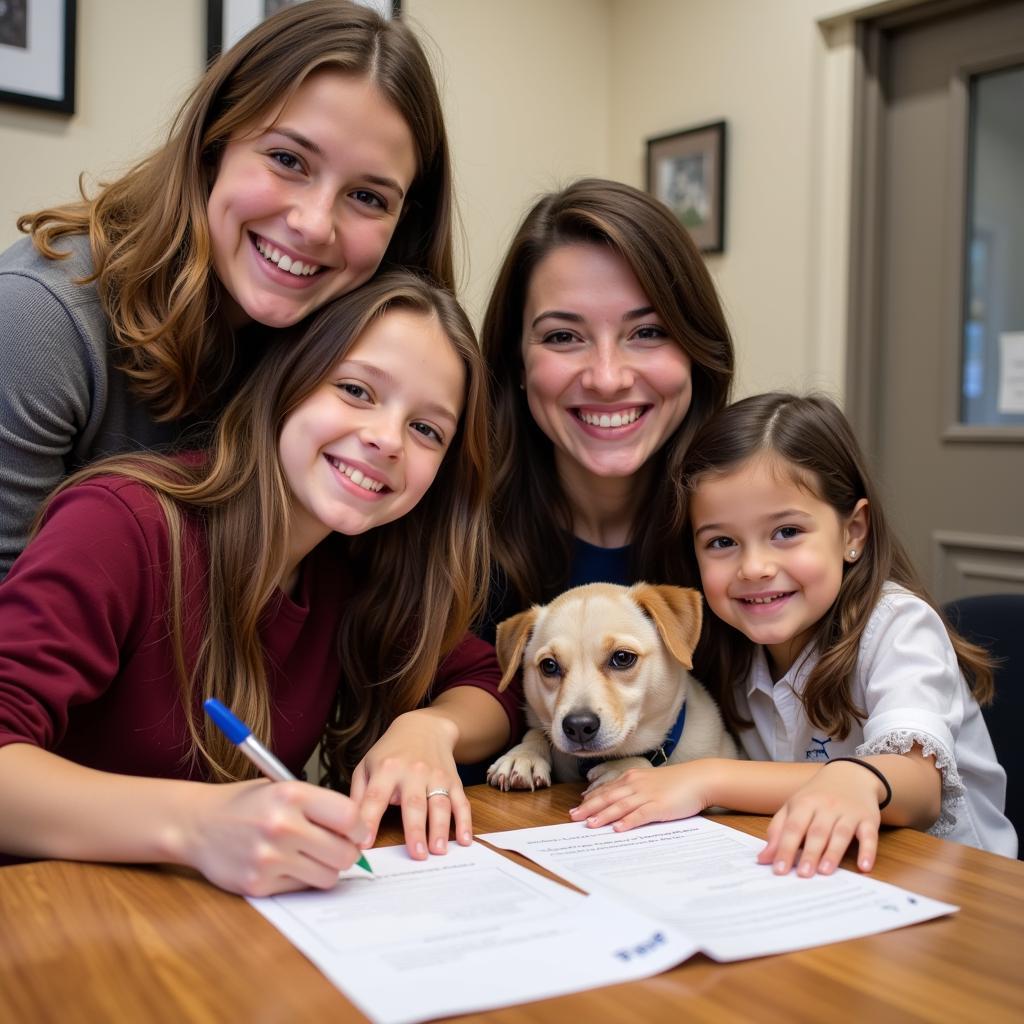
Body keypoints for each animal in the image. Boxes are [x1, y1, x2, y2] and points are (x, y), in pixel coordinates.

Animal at [487, 585, 737, 790]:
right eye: (549, 665)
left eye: (623, 657)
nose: (578, 726)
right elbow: (536, 731)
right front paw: (523, 756)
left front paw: (620, 770)